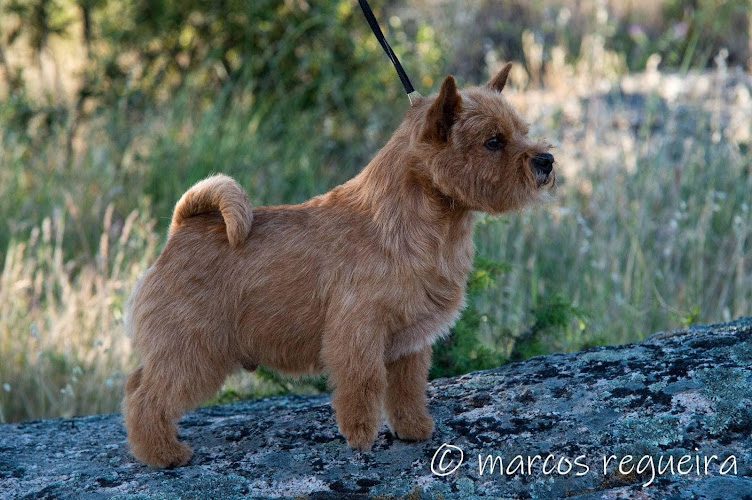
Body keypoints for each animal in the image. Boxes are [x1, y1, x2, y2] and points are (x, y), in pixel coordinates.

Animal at [123, 63, 556, 468]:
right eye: (493, 142)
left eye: (522, 131)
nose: (547, 160)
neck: (411, 224)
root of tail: (181, 228)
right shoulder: (357, 335)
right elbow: (363, 387)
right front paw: (361, 438)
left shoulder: (409, 344)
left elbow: (408, 390)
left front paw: (414, 428)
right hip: (191, 351)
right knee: (148, 398)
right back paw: (163, 454)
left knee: (134, 386)